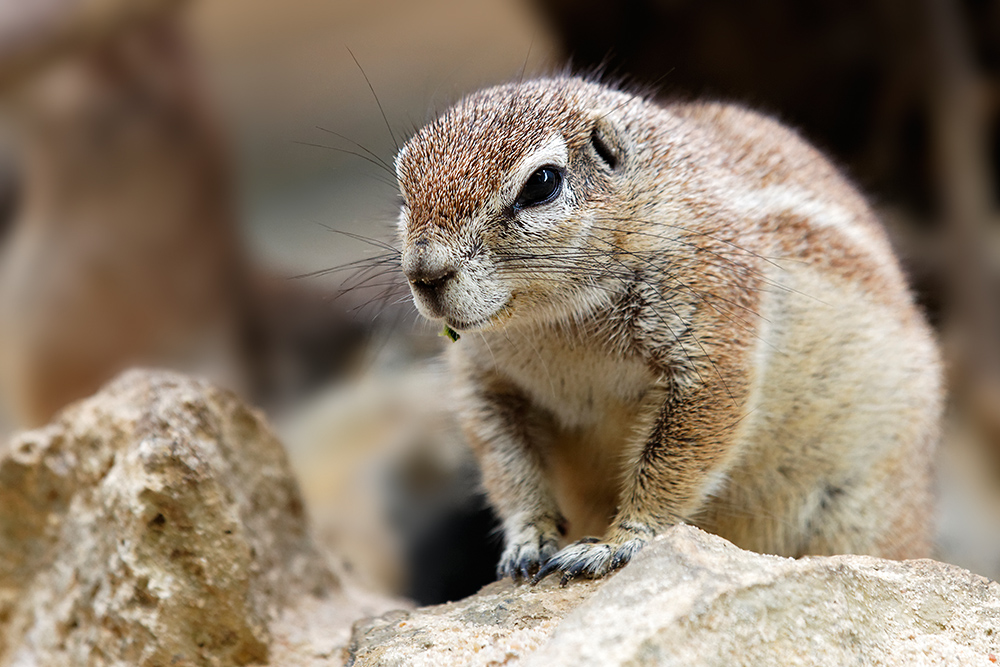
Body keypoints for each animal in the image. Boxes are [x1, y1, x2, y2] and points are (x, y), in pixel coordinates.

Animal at [394, 75, 940, 580]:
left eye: (542, 182)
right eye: (402, 188)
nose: (425, 273)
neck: (556, 324)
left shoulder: (712, 329)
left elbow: (677, 456)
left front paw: (616, 544)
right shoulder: (483, 381)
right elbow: (505, 461)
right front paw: (528, 539)